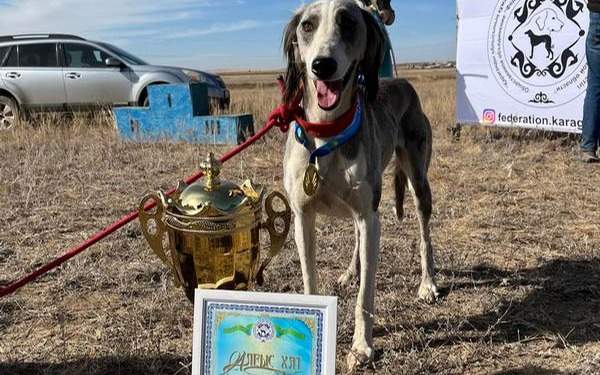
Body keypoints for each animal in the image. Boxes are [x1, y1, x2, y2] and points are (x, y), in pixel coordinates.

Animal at [282, 0, 440, 370]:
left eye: (349, 23)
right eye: (307, 25)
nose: (322, 65)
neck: (327, 132)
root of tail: (400, 81)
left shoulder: (370, 217)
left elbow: (366, 296)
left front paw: (361, 347)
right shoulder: (303, 218)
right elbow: (310, 281)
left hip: (418, 183)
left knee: (424, 235)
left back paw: (428, 284)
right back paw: (349, 272)